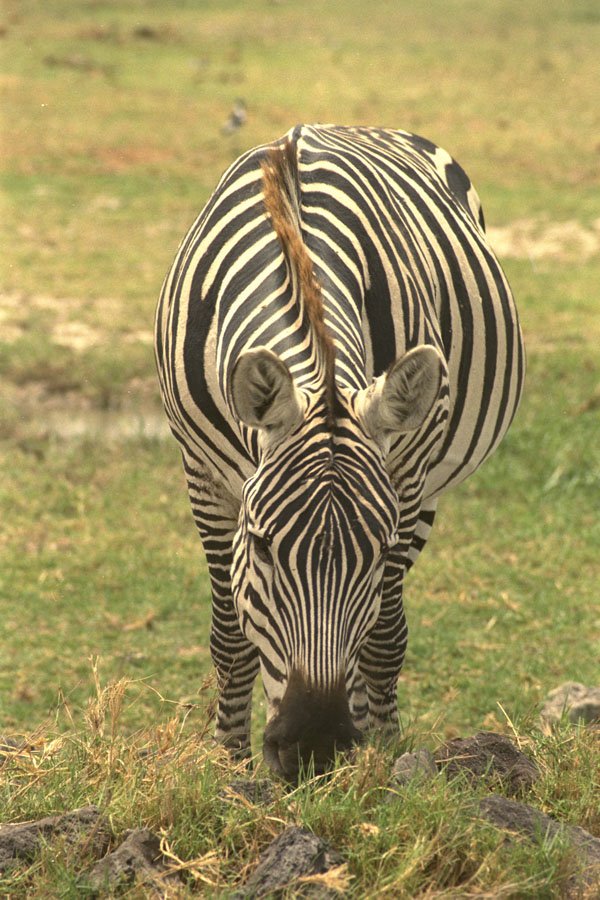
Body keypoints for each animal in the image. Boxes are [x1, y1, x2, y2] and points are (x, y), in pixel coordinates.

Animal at [155, 124, 524, 779]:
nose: (315, 745)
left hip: (426, 486)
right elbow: (231, 636)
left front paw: (383, 759)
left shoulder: (404, 479)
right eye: (263, 548)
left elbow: (381, 638)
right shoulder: (200, 470)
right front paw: (228, 766)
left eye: (375, 551)